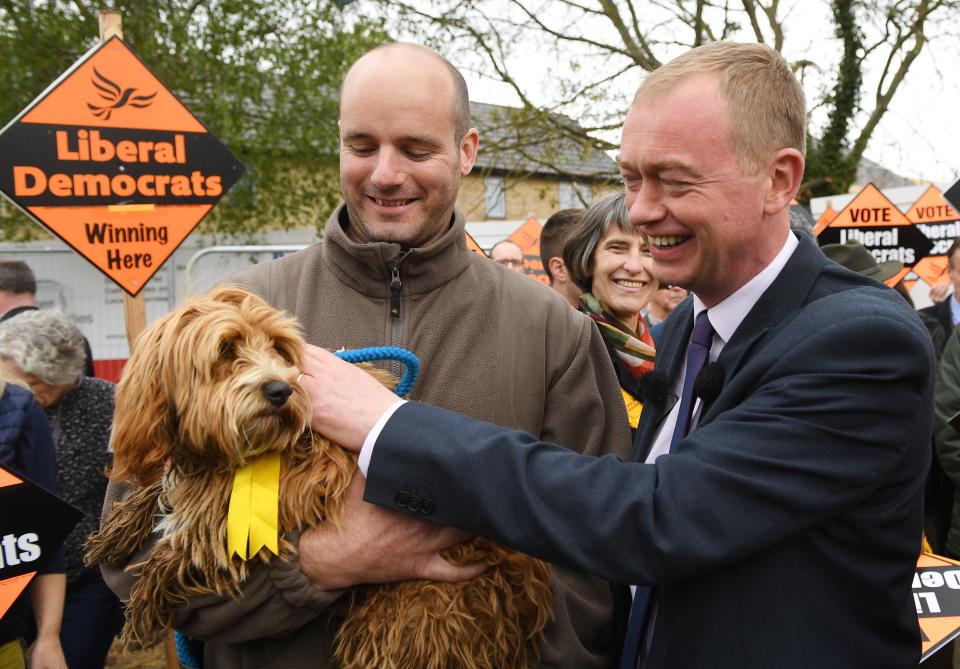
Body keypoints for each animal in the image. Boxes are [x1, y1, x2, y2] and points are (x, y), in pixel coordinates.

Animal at [90, 288, 556, 668]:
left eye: (279, 348)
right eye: (226, 349)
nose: (280, 391)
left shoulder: (307, 482)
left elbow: (203, 526)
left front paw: (149, 590)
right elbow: (167, 490)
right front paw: (121, 526)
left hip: (410, 619)